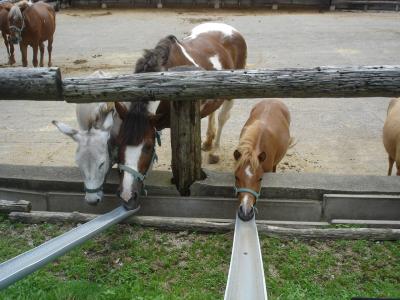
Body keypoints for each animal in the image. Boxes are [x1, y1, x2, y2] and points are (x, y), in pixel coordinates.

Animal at [114, 22, 247, 209]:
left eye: (148, 146)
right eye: (118, 143)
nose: (127, 196)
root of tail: (228, 28)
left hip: (231, 94)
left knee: (222, 118)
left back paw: (215, 151)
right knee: (213, 112)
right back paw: (208, 142)